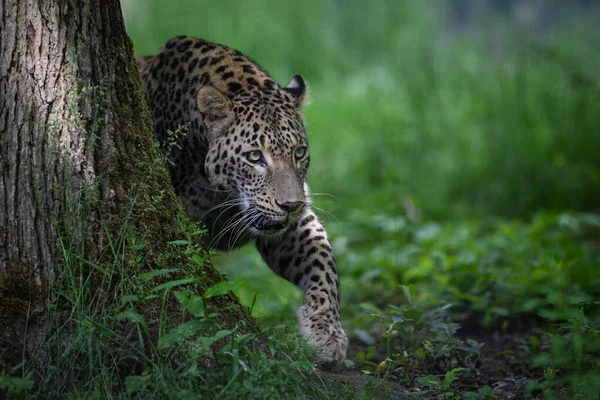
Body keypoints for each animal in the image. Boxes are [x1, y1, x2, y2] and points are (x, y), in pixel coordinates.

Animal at [137, 36, 350, 362]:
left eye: (299, 152)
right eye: (254, 157)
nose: (291, 206)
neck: (225, 195)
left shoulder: (293, 225)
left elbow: (323, 262)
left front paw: (326, 331)